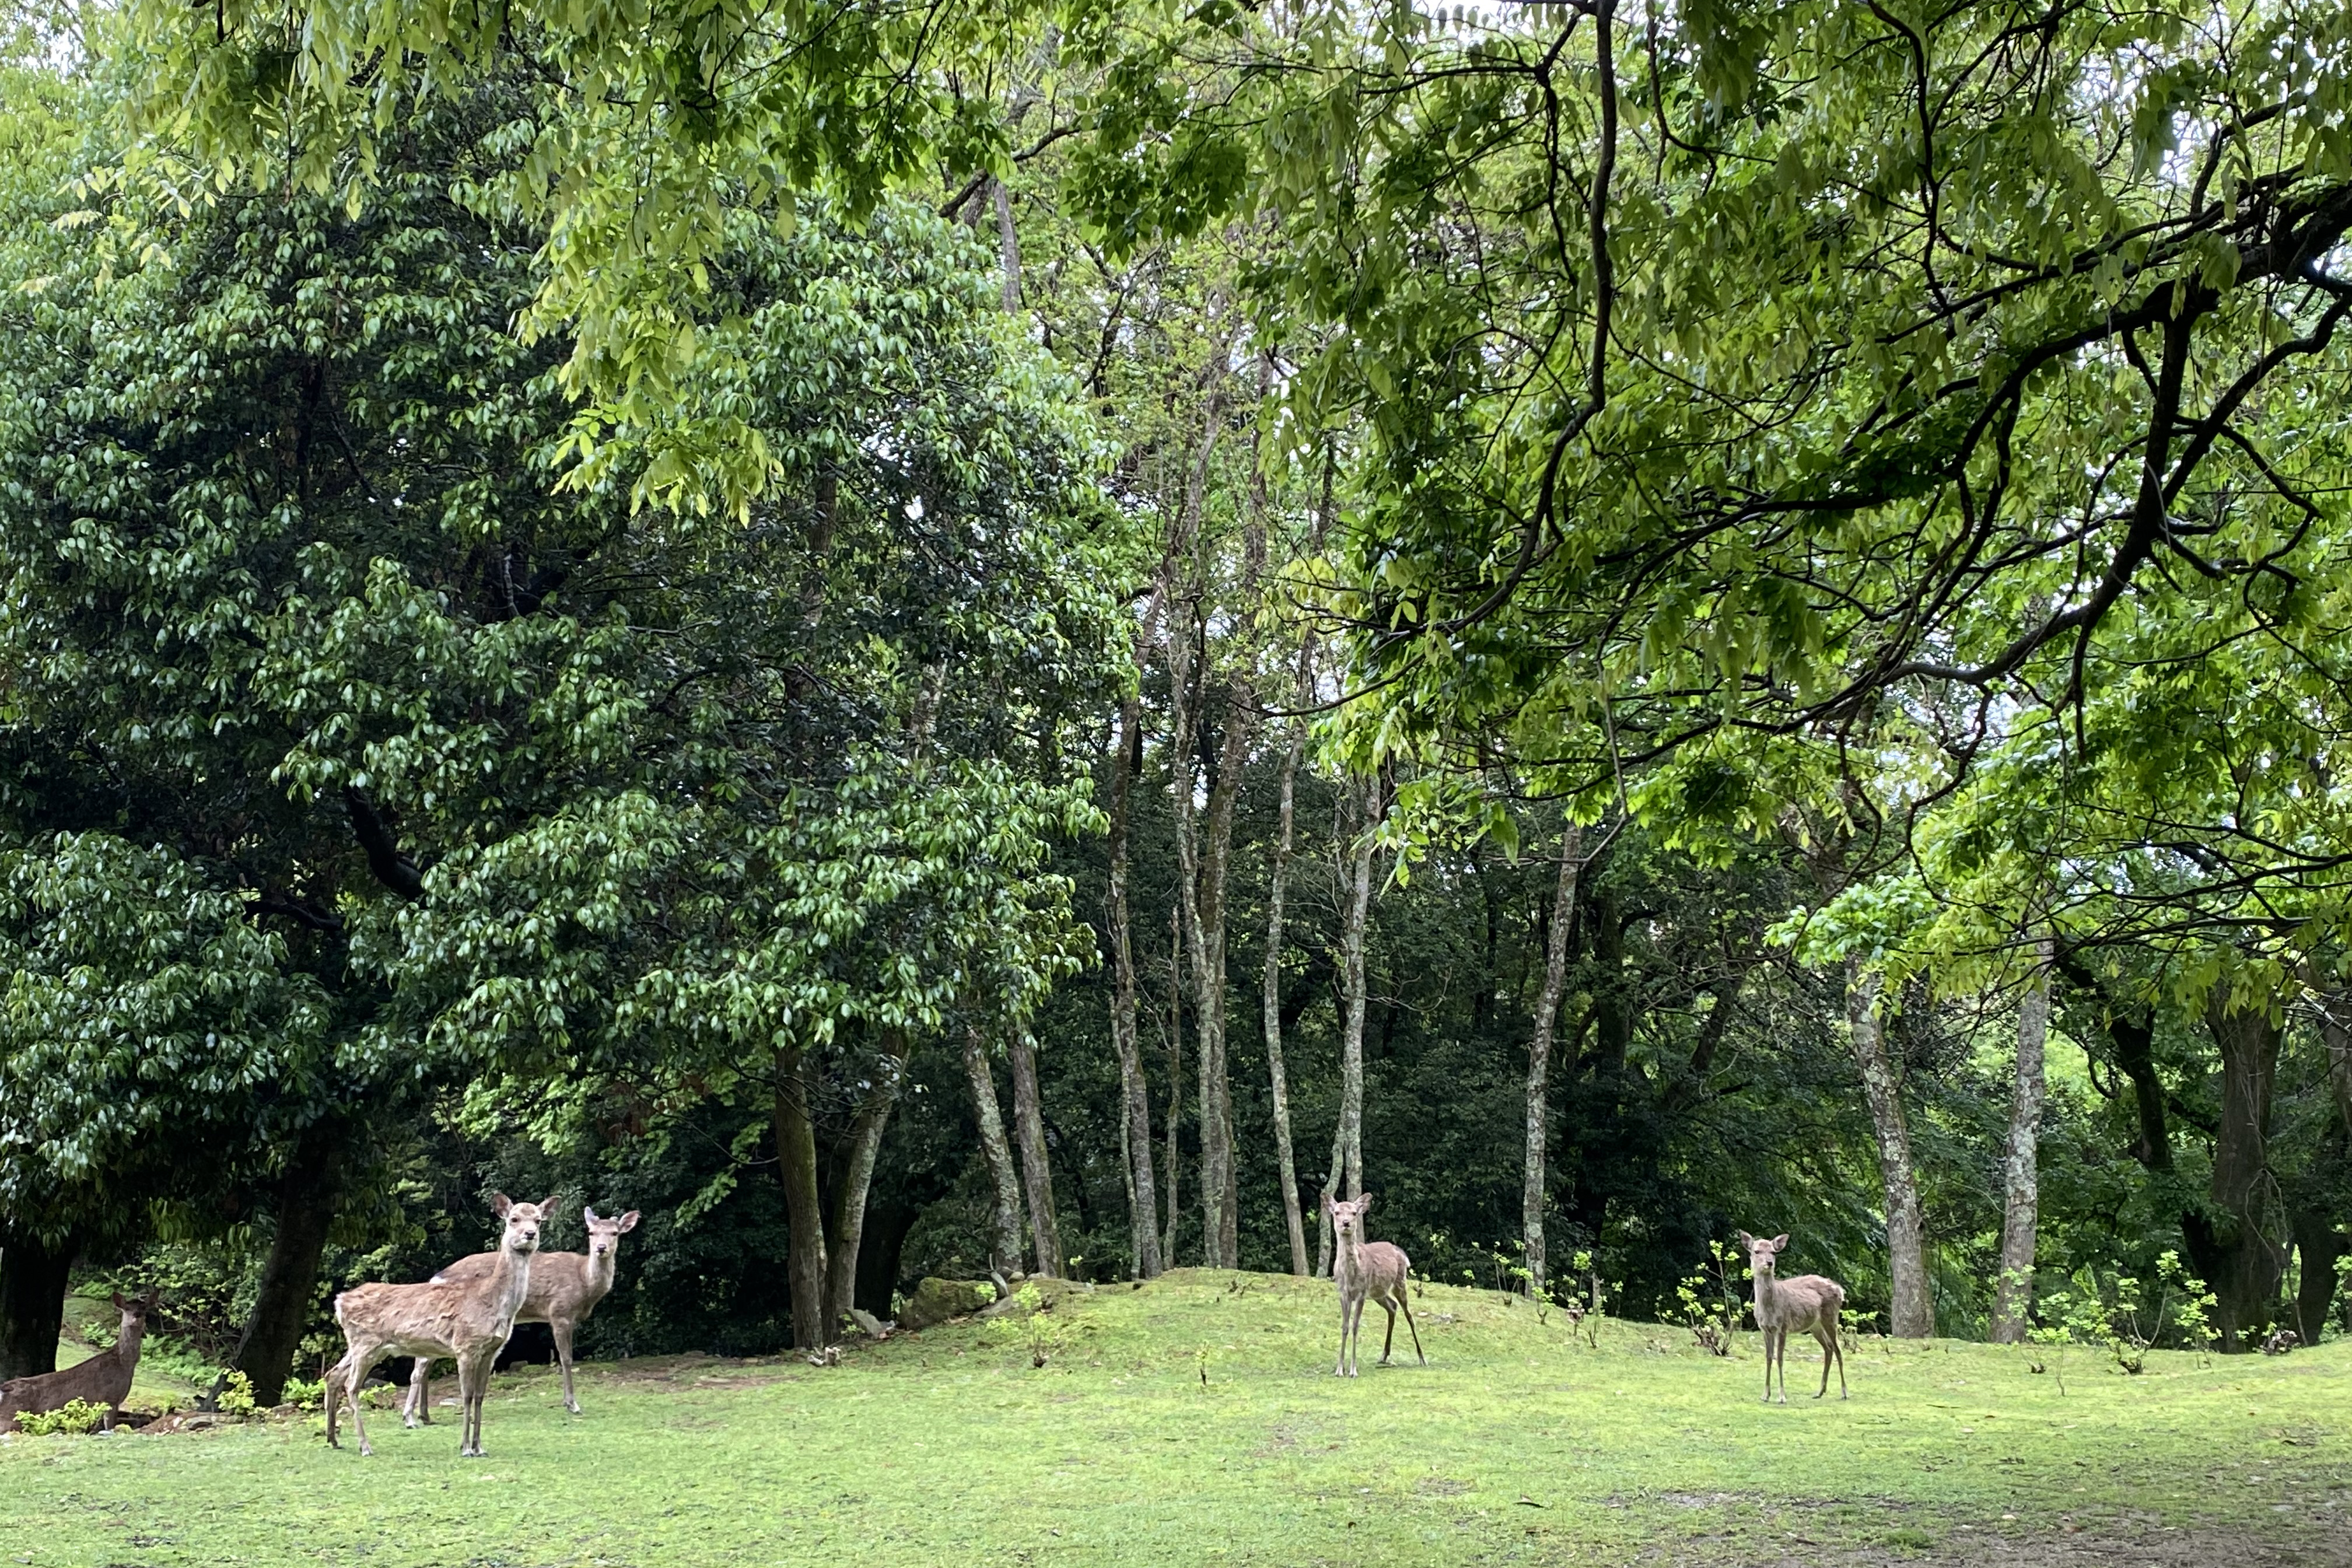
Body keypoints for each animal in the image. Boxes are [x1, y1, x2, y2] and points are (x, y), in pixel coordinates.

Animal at [0, 1288, 154, 1438]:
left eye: (144, 1308)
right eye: (127, 1308)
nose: (137, 1315)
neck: (124, 1363)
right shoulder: (111, 1398)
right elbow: (109, 1427)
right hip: (12, 1419)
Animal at [327, 1194, 555, 1466]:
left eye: (539, 1220)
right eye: (514, 1219)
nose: (530, 1234)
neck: (491, 1302)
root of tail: (340, 1302)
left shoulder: (492, 1352)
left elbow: (481, 1396)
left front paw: (480, 1447)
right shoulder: (465, 1346)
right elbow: (467, 1396)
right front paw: (465, 1448)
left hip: (364, 1346)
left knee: (332, 1375)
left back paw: (333, 1439)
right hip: (365, 1343)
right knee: (351, 1385)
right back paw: (365, 1446)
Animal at [407, 1203, 639, 1420]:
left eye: (615, 1233)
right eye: (591, 1232)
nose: (601, 1248)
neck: (584, 1283)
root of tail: (437, 1277)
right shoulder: (559, 1311)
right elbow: (566, 1359)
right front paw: (572, 1404)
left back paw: (425, 1415)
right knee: (422, 1363)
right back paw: (411, 1416)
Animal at [1317, 1194, 1420, 1382]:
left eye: (1354, 1213)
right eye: (1336, 1212)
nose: (1346, 1223)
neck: (1350, 1275)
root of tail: (1400, 1251)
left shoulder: (1361, 1293)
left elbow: (1356, 1326)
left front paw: (1353, 1370)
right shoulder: (1343, 1293)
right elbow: (1345, 1327)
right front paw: (1339, 1369)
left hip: (1400, 1281)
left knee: (1409, 1315)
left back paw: (1422, 1358)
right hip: (1379, 1292)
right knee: (1392, 1307)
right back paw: (1384, 1356)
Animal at [1740, 1231, 1844, 1401]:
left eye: (1774, 1252)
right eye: (1757, 1251)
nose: (1769, 1263)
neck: (1769, 1307)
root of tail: (1840, 1290)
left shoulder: (1783, 1326)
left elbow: (1780, 1358)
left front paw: (1782, 1397)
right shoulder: (1764, 1328)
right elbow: (1769, 1358)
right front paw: (1765, 1395)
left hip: (1831, 1317)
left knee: (1838, 1349)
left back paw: (1844, 1392)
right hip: (1815, 1325)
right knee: (1829, 1348)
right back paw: (1819, 1392)